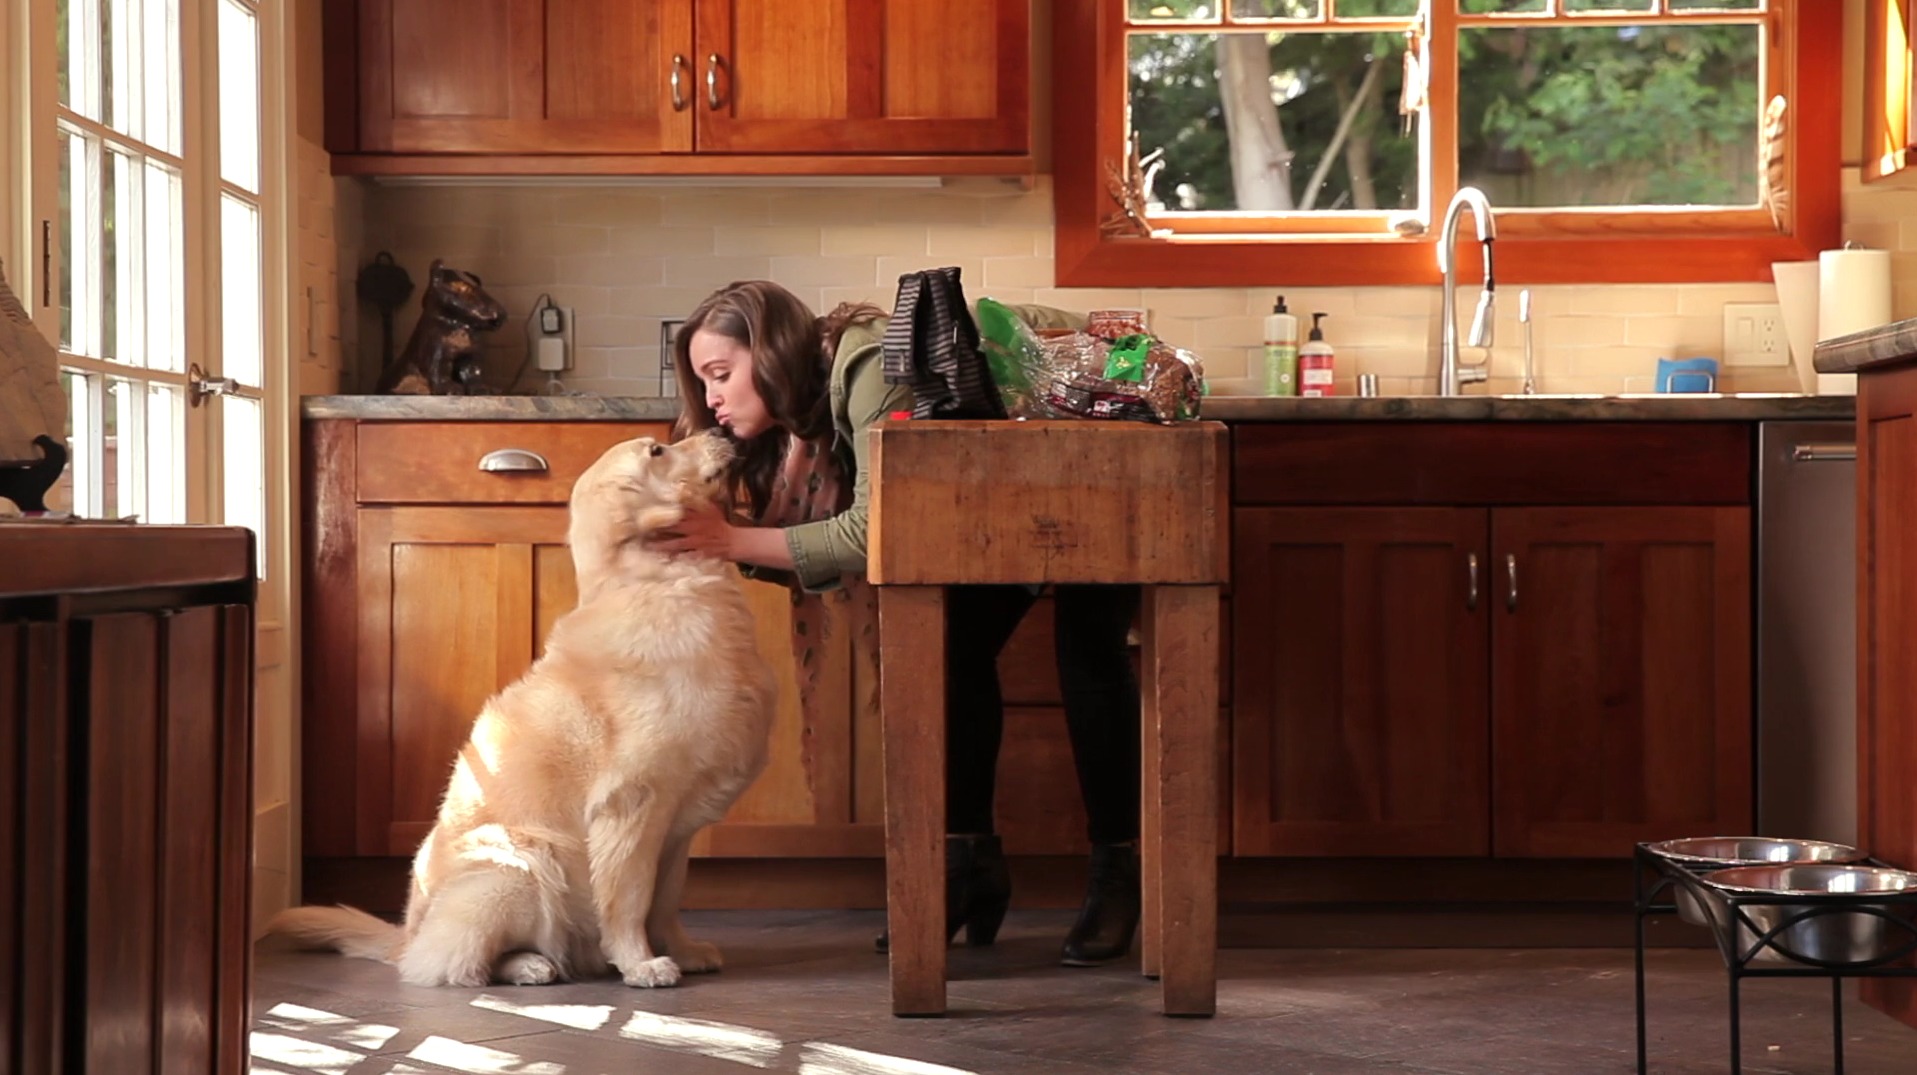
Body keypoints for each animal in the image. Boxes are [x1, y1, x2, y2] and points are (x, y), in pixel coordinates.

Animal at [267, 431, 776, 988]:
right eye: (657, 451)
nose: (723, 431)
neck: (659, 584)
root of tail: (404, 936)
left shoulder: (678, 826)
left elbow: (665, 903)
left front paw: (682, 951)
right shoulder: (632, 805)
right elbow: (630, 900)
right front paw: (640, 963)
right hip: (523, 863)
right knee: (450, 963)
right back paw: (529, 964)